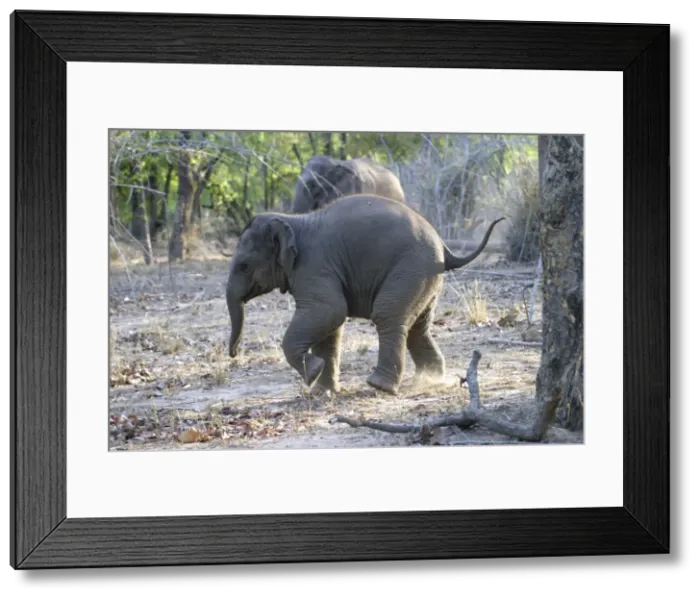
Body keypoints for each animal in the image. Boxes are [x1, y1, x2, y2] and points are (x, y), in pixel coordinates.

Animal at [226, 193, 505, 395]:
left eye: (244, 266)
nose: (234, 354)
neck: (293, 221)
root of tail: (445, 249)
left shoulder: (314, 266)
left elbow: (330, 310)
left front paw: (313, 373)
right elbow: (331, 325)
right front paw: (321, 391)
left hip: (411, 268)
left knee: (387, 315)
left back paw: (379, 386)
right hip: (426, 277)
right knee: (418, 326)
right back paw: (429, 381)